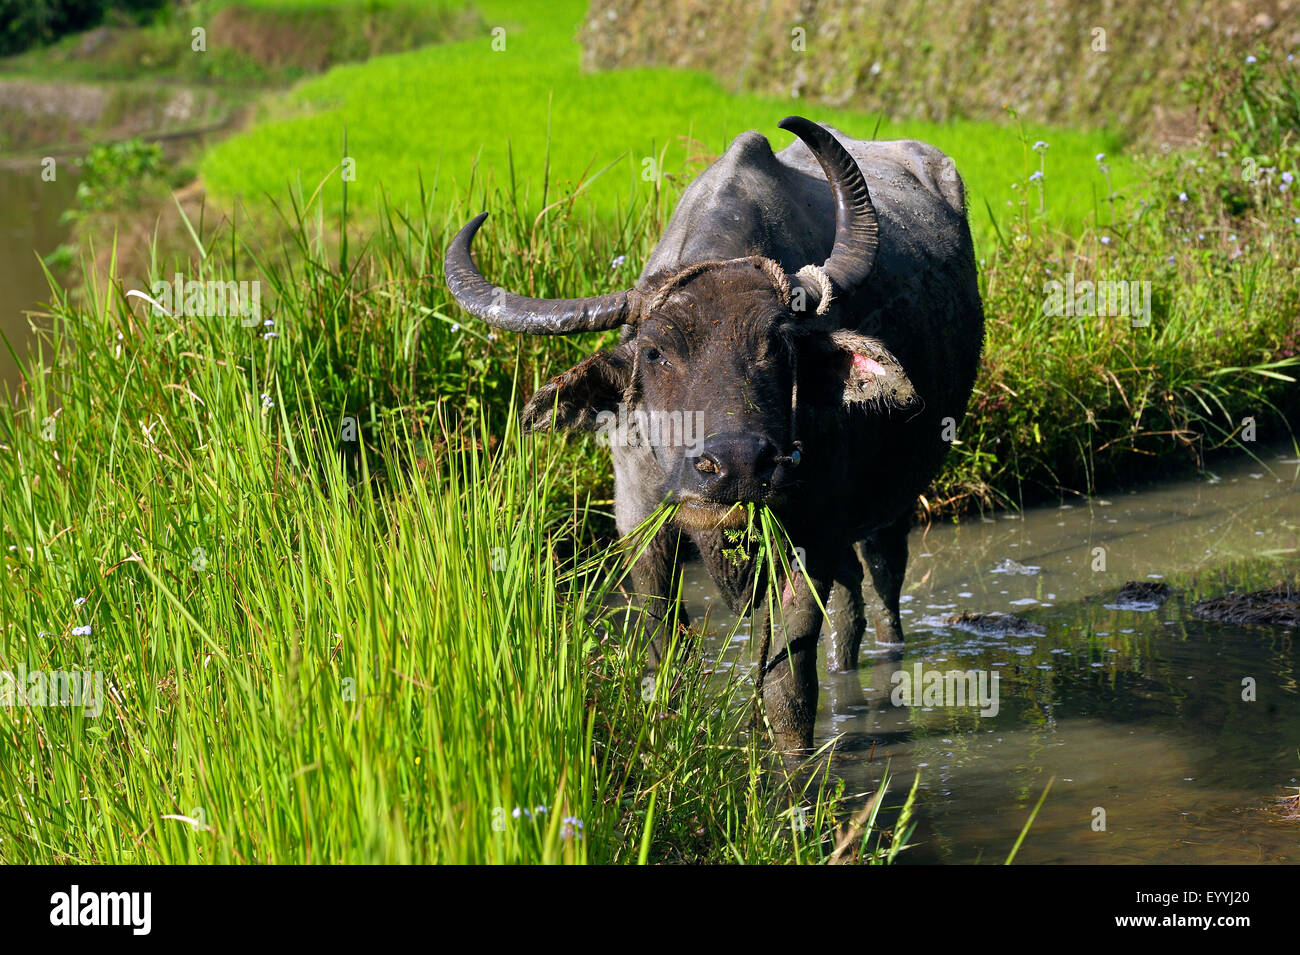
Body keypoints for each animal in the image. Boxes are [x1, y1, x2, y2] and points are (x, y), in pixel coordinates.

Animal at [441, 115, 977, 748]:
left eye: (781, 344)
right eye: (654, 352)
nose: (739, 465)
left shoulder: (811, 532)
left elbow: (787, 682)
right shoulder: (640, 524)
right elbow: (666, 652)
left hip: (891, 504)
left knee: (885, 585)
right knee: (851, 602)